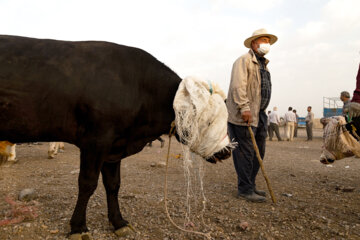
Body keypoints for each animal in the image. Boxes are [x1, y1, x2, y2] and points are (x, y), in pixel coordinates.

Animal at [0, 34, 231, 237]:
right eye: (209, 121)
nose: (228, 151)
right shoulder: (95, 141)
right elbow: (87, 183)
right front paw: (78, 227)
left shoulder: (114, 147)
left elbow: (113, 184)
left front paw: (118, 222)